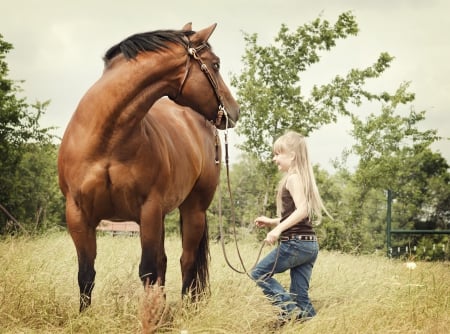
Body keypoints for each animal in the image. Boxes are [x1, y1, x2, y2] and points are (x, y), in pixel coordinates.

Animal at [58, 22, 241, 310]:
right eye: (216, 64)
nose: (233, 111)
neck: (108, 140)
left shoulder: (149, 210)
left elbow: (147, 270)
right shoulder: (77, 214)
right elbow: (86, 273)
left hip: (194, 209)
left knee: (186, 261)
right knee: (166, 263)